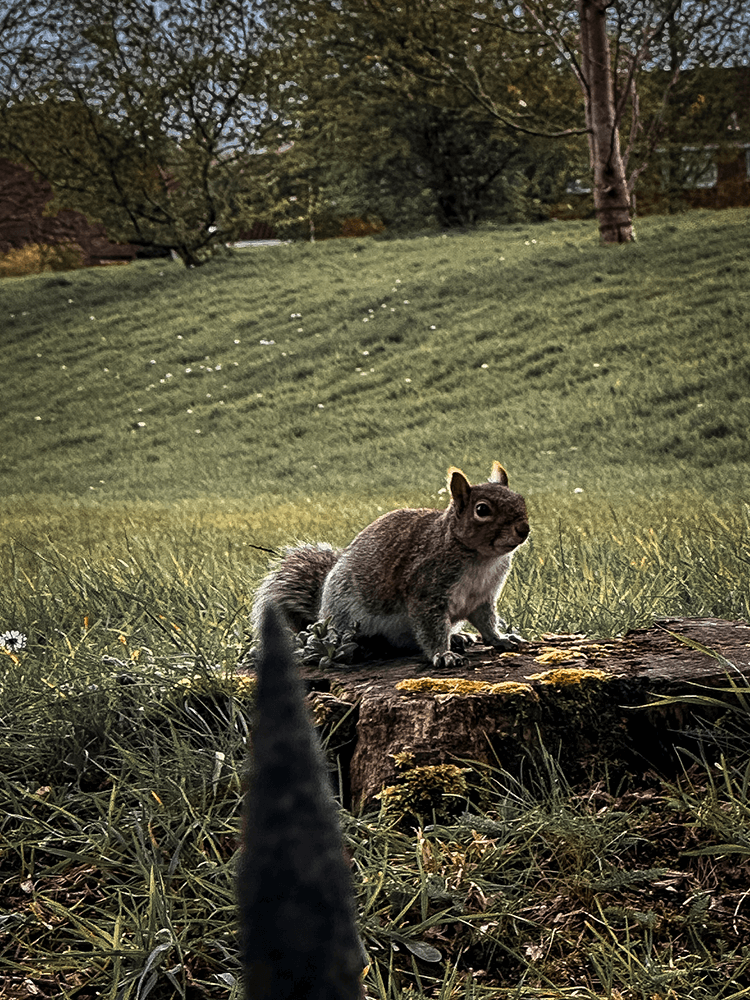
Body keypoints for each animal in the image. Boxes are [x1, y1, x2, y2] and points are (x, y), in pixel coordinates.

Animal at [252, 462, 530, 669]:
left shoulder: (482, 597)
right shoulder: (426, 590)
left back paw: (459, 637)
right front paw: (443, 655)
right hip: (345, 616)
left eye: (520, 499)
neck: (481, 559)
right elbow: (430, 629)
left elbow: (487, 622)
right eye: (482, 510)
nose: (523, 529)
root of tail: (321, 615)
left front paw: (501, 639)